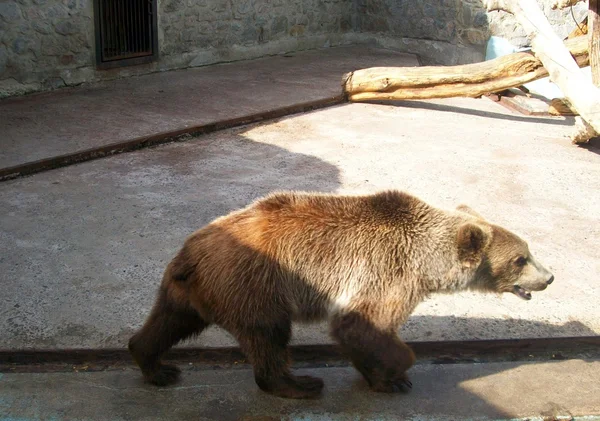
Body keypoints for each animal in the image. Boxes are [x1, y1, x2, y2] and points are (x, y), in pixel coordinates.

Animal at [129, 189, 556, 398]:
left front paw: (380, 376)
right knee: (269, 335)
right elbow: (364, 324)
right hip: (253, 284)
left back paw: (156, 366)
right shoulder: (388, 270)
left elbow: (357, 334)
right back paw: (298, 384)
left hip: (188, 289)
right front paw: (398, 374)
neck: (428, 263)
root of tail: (191, 252)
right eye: (521, 258)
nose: (549, 277)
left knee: (169, 322)